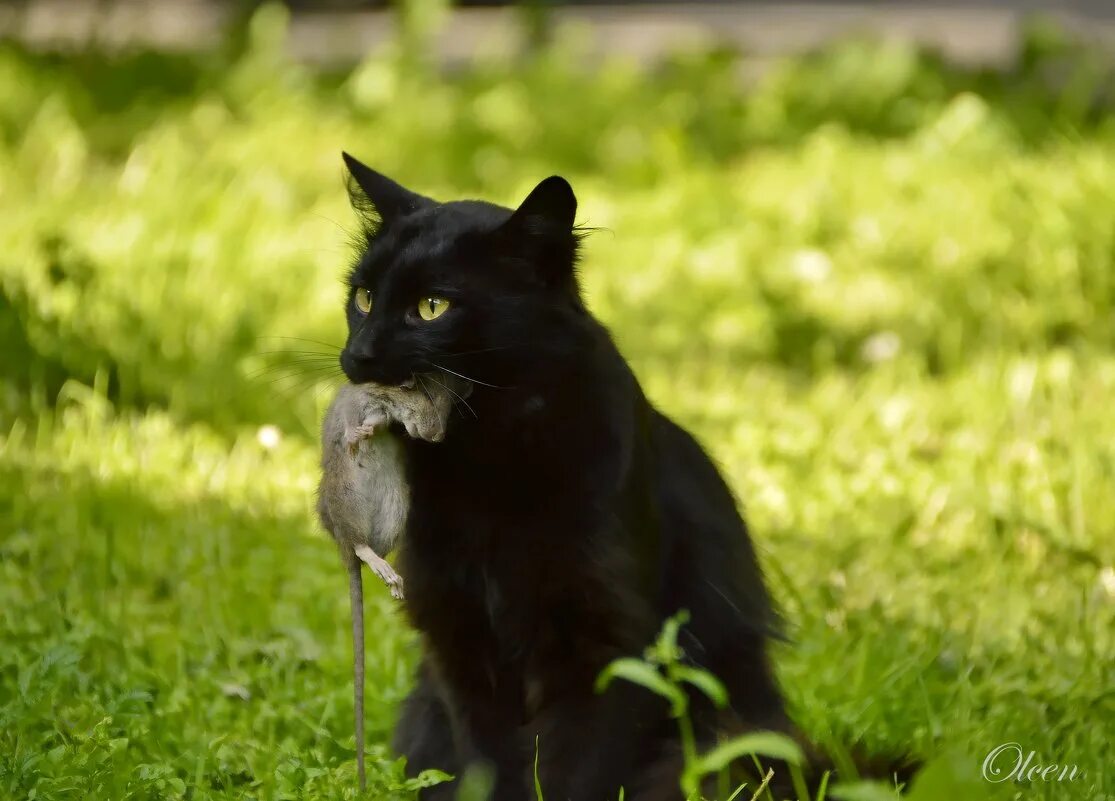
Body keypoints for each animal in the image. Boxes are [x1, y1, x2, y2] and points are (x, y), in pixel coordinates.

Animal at [338, 153, 793, 798]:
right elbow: (487, 761)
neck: (486, 471)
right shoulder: (459, 638)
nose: (359, 356)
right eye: (364, 296)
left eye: (432, 307)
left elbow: (575, 770)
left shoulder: (602, 645)